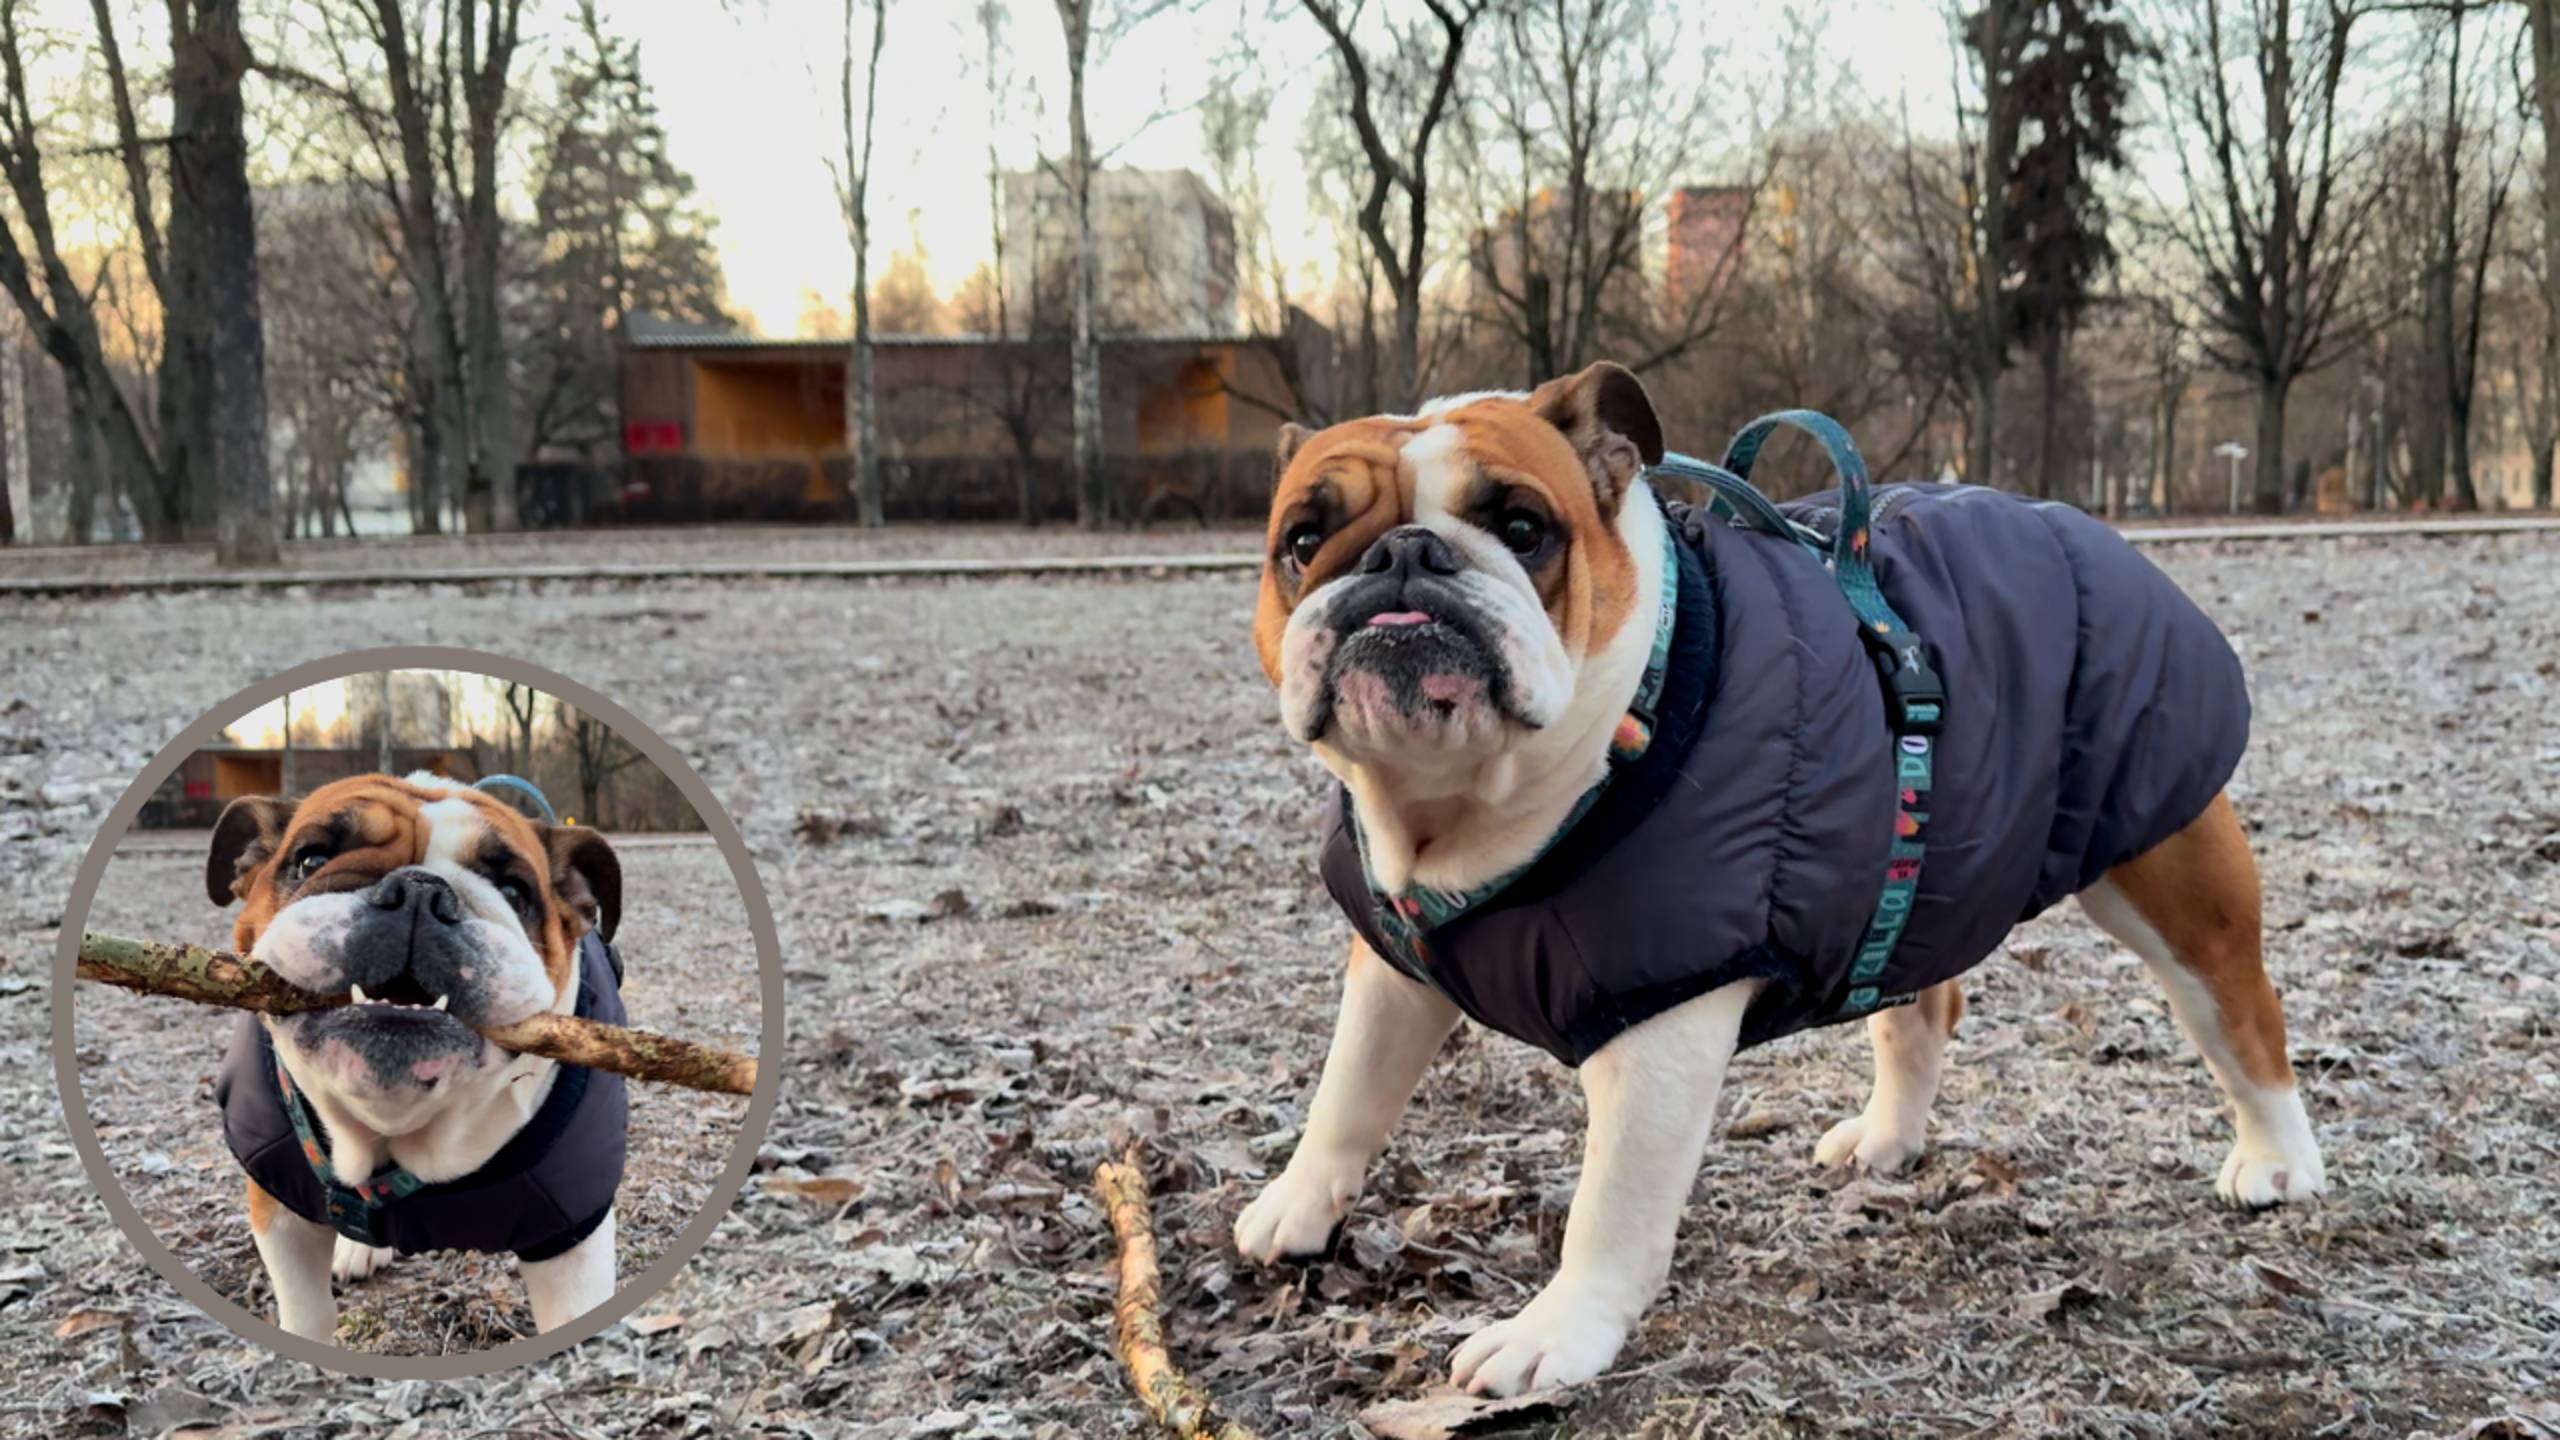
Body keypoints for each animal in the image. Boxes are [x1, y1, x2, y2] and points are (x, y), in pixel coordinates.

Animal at [205, 773, 627, 1344]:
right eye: (312, 860)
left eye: (515, 893)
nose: (419, 891)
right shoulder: (279, 1213)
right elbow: (306, 1313)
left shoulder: (572, 1247)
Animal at [1234, 363, 2325, 1397]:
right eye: (1302, 539)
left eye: (1522, 527)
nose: (1402, 556)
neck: (1457, 810)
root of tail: (2090, 533)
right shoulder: (1394, 968)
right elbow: (1349, 1088)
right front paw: (1296, 1204)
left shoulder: (1659, 1031)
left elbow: (1608, 1207)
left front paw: (1558, 1334)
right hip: (1911, 866)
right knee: (1921, 1010)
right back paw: (1887, 1140)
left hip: (2171, 875)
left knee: (2242, 1021)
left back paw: (2278, 1161)